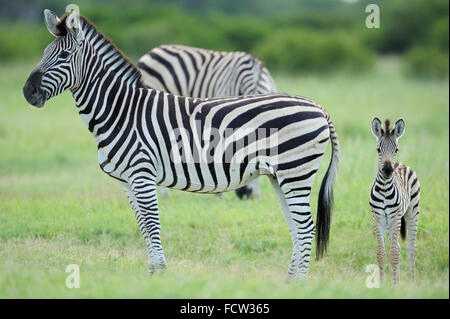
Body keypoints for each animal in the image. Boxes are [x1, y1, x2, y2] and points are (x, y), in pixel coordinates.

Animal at [370, 119, 422, 284]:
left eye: (396, 149)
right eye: (378, 150)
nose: (388, 170)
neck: (385, 189)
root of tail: (401, 164)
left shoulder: (395, 217)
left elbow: (393, 254)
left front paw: (393, 286)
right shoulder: (378, 217)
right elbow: (381, 254)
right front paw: (383, 285)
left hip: (412, 212)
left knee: (411, 249)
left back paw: (413, 284)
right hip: (390, 221)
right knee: (398, 247)